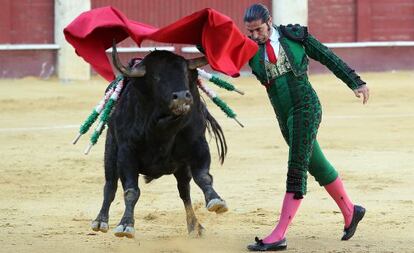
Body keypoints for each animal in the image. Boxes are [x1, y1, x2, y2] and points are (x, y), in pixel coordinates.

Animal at [90, 45, 228, 237]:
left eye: (184, 73)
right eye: (156, 77)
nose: (182, 96)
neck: (164, 127)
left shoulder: (198, 144)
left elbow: (203, 177)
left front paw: (215, 201)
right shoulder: (127, 152)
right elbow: (131, 191)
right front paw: (125, 225)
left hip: (181, 167)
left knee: (184, 190)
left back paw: (195, 226)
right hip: (110, 151)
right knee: (110, 185)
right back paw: (100, 221)